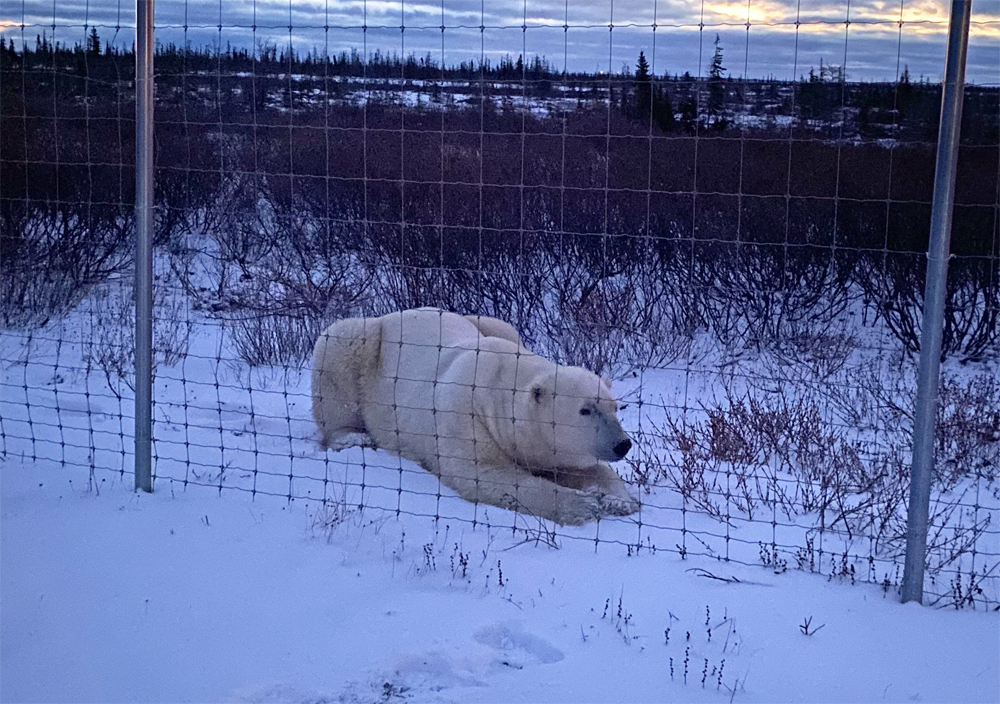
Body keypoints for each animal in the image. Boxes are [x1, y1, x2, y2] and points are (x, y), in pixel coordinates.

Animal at [310, 306, 640, 524]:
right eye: (585, 410)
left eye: (615, 407)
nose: (622, 444)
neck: (499, 383)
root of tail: (393, 314)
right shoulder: (465, 417)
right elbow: (484, 474)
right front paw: (584, 505)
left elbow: (590, 469)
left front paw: (618, 501)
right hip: (362, 344)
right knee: (337, 351)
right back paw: (352, 437)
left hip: (487, 322)